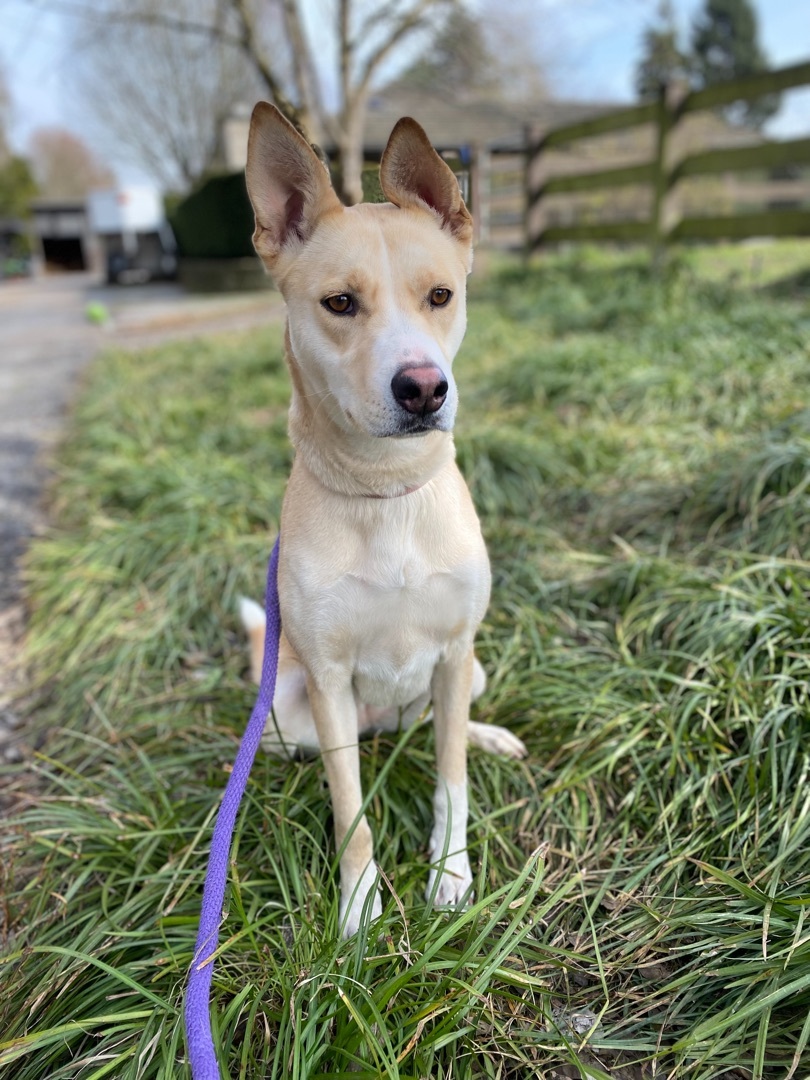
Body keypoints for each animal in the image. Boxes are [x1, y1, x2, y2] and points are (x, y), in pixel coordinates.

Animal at [244, 105, 529, 941]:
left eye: (441, 294)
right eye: (340, 303)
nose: (425, 389)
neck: (385, 491)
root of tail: (384, 726)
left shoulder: (455, 653)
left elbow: (451, 780)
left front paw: (450, 874)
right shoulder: (330, 679)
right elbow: (351, 811)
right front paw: (357, 910)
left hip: (469, 670)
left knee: (441, 731)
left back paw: (487, 735)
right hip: (289, 711)